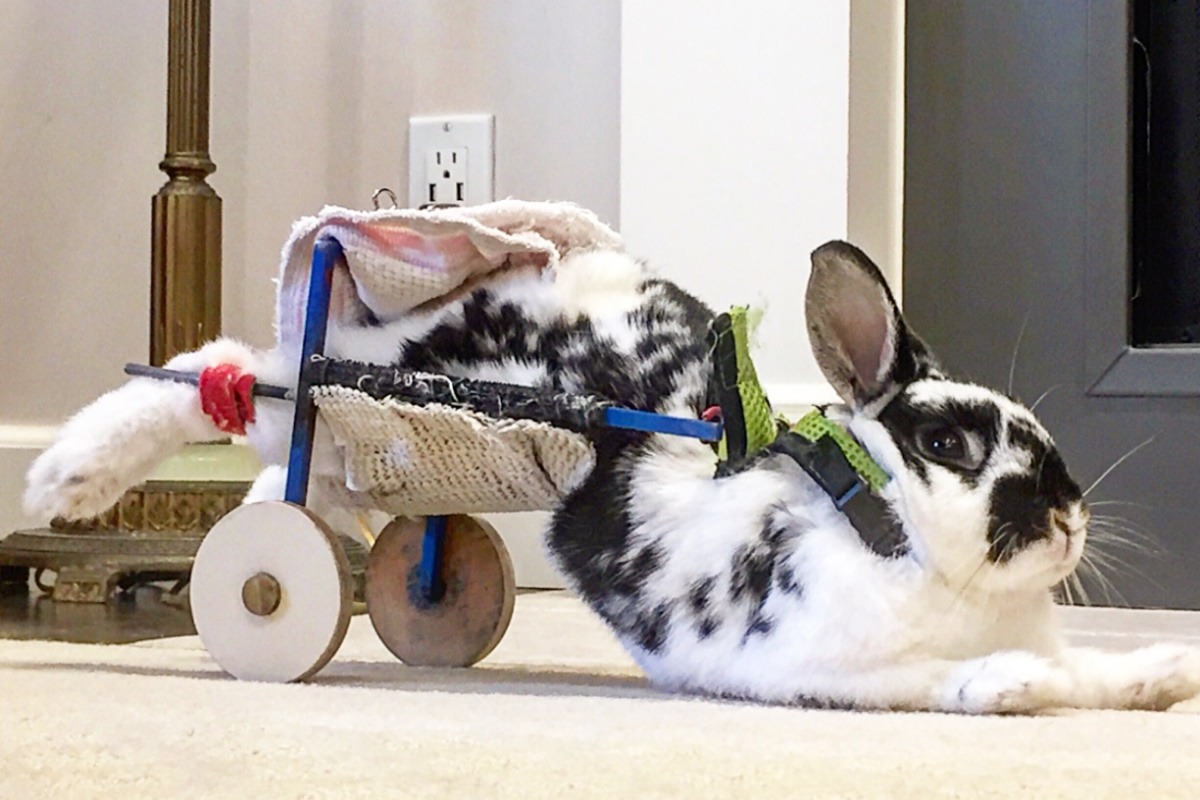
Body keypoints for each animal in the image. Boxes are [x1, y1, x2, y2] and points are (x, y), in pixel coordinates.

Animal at [24, 240, 1200, 713]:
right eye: (951, 445)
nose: (1068, 516)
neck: (884, 528)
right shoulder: (813, 660)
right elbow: (953, 680)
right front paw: (1012, 687)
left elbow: (1096, 672)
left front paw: (1160, 673)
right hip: (349, 383)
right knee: (223, 376)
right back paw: (66, 476)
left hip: (389, 437)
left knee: (301, 465)